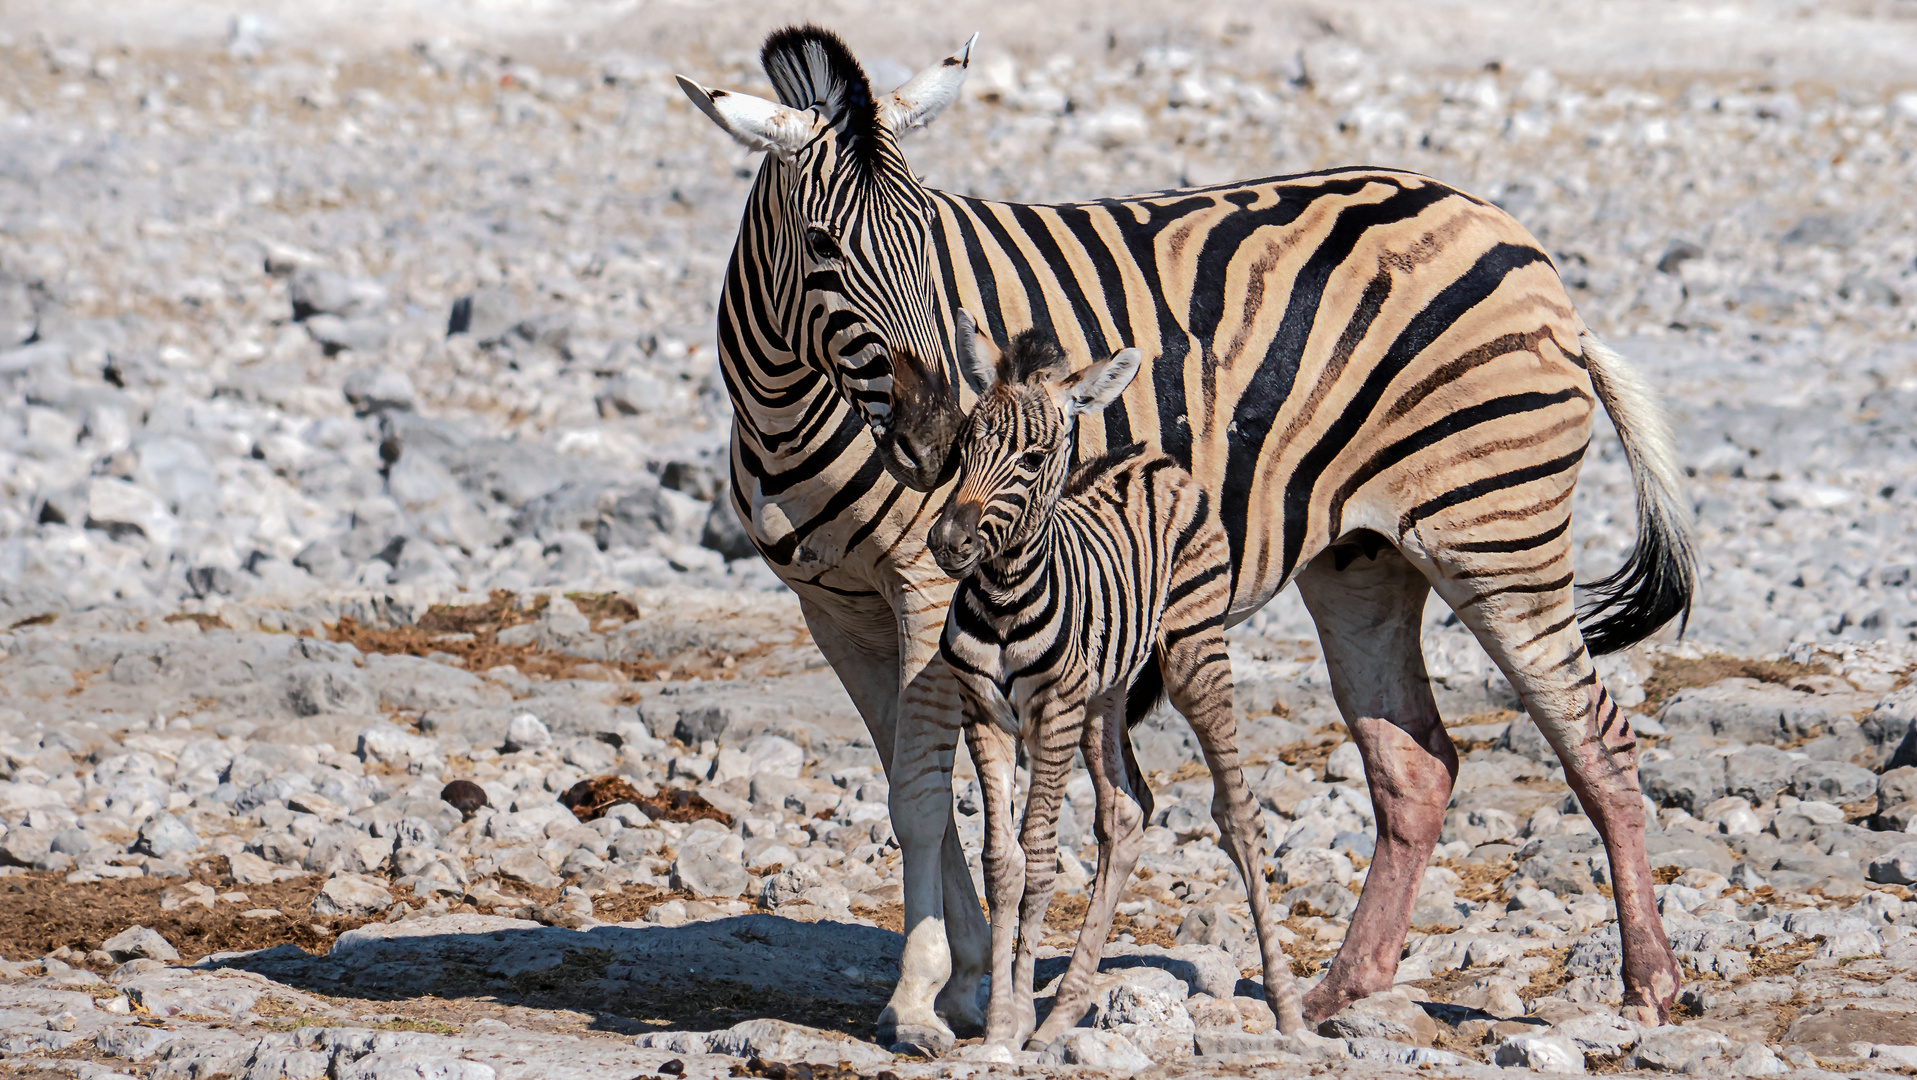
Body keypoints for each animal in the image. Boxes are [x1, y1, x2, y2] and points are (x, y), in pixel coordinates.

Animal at [935, 316, 1311, 1051]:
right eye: (964, 447)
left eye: (1031, 459)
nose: (947, 543)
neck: (1002, 599)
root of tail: (1152, 458)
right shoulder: (982, 714)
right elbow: (1001, 862)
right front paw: (1001, 1026)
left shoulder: (1052, 712)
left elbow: (1041, 857)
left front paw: (1013, 1021)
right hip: (1102, 696)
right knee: (1127, 811)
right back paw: (1063, 1014)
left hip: (1195, 656)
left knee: (1239, 814)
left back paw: (1288, 1011)